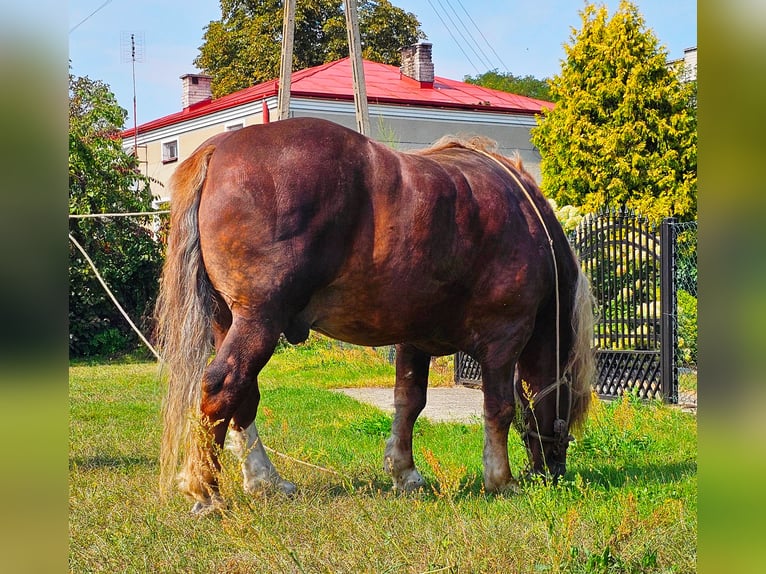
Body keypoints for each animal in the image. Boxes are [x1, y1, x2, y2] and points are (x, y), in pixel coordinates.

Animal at [156, 116, 596, 512]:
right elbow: (499, 407)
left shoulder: (416, 338)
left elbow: (408, 402)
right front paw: (500, 479)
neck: (528, 223)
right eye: (571, 402)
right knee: (223, 386)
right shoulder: (505, 338)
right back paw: (206, 490)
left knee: (244, 395)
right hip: (260, 320)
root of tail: (219, 150)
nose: (553, 471)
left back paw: (266, 481)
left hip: (229, 320)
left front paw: (405, 472)